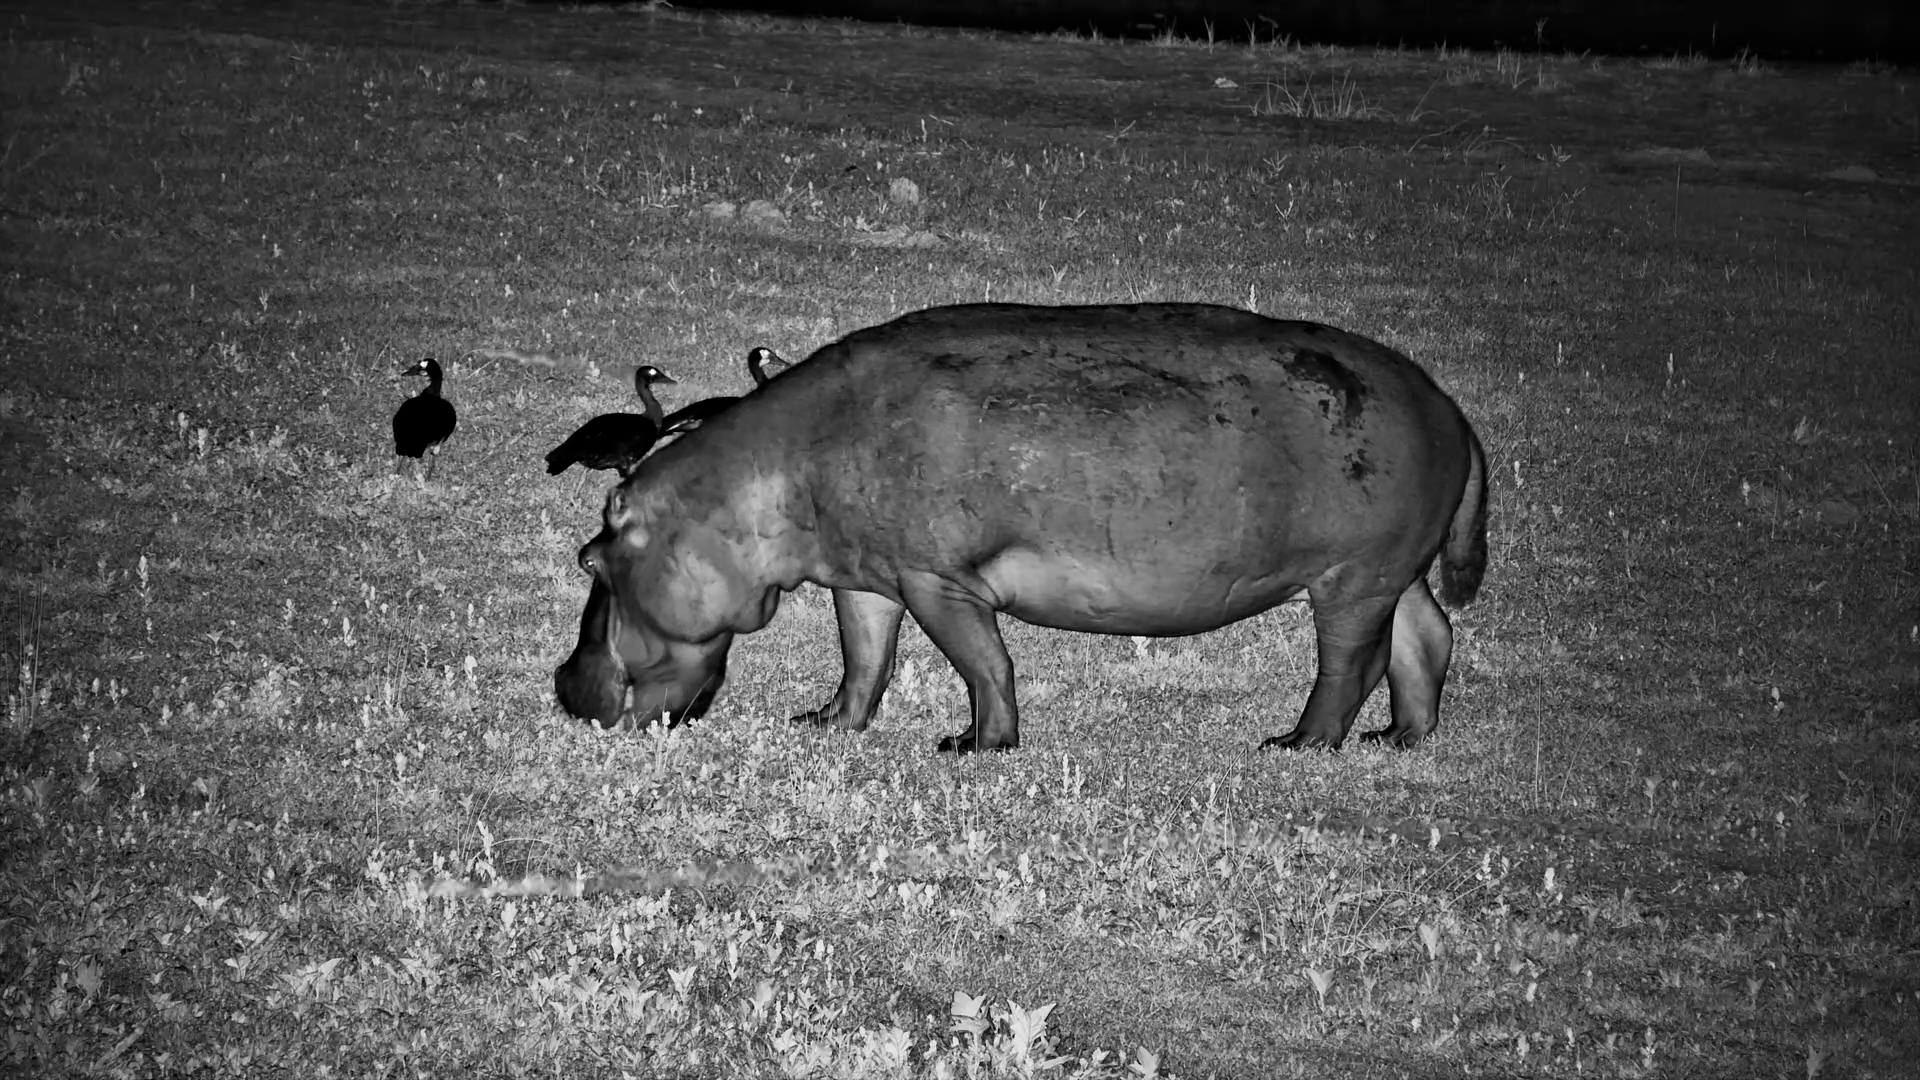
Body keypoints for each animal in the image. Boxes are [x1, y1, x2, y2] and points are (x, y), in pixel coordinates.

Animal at [555, 303, 1487, 753]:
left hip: (1349, 580)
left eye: (590, 560)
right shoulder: (866, 576)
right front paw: (823, 723)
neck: (751, 483)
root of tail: (1451, 406)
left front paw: (973, 746)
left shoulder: (938, 582)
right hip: (1390, 570)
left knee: (1349, 664)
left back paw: (1295, 744)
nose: (561, 685)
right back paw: (1401, 738)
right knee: (1425, 637)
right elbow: (864, 658)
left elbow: (984, 663)